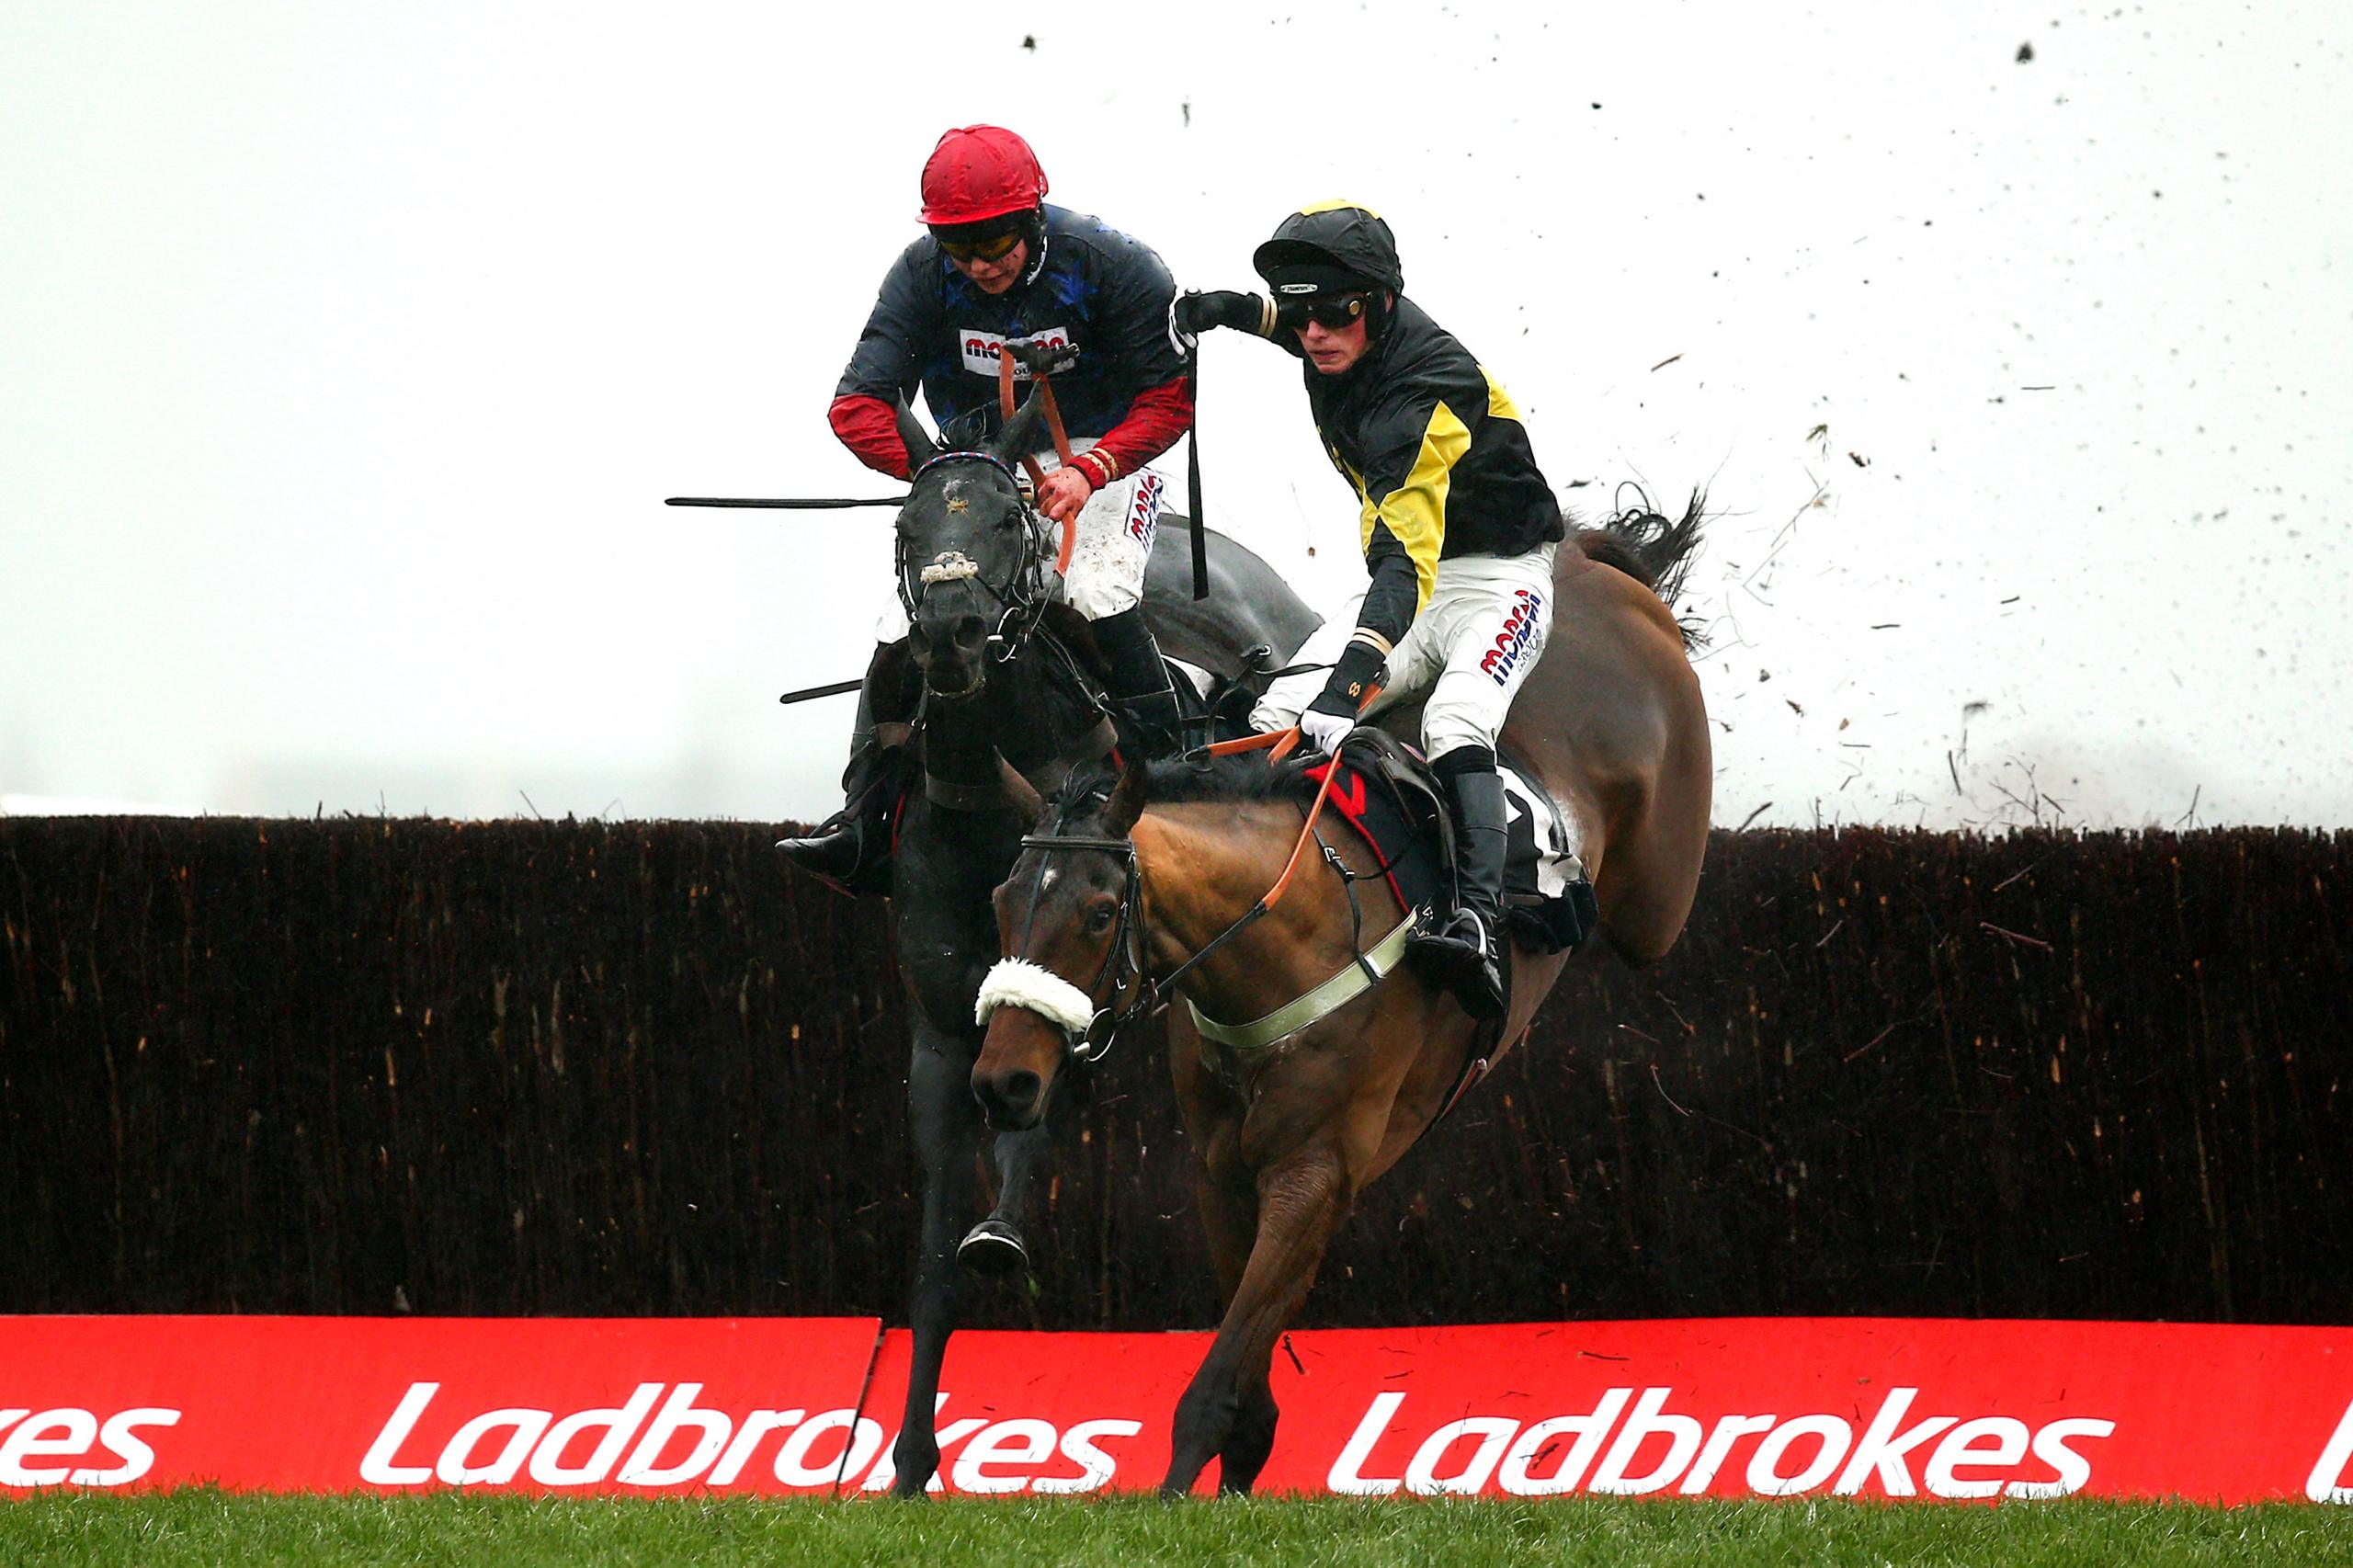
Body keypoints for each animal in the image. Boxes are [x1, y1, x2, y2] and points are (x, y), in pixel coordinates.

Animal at [964, 506, 1703, 1497]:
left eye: (1097, 913)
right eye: (1003, 901)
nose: (1003, 1080)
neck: (1288, 935)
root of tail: (1588, 562)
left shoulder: (1316, 1170)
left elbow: (1221, 1369)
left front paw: (1177, 1491)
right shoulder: (1223, 1166)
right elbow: (1246, 1338)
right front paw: (1246, 1451)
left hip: (1655, 885)